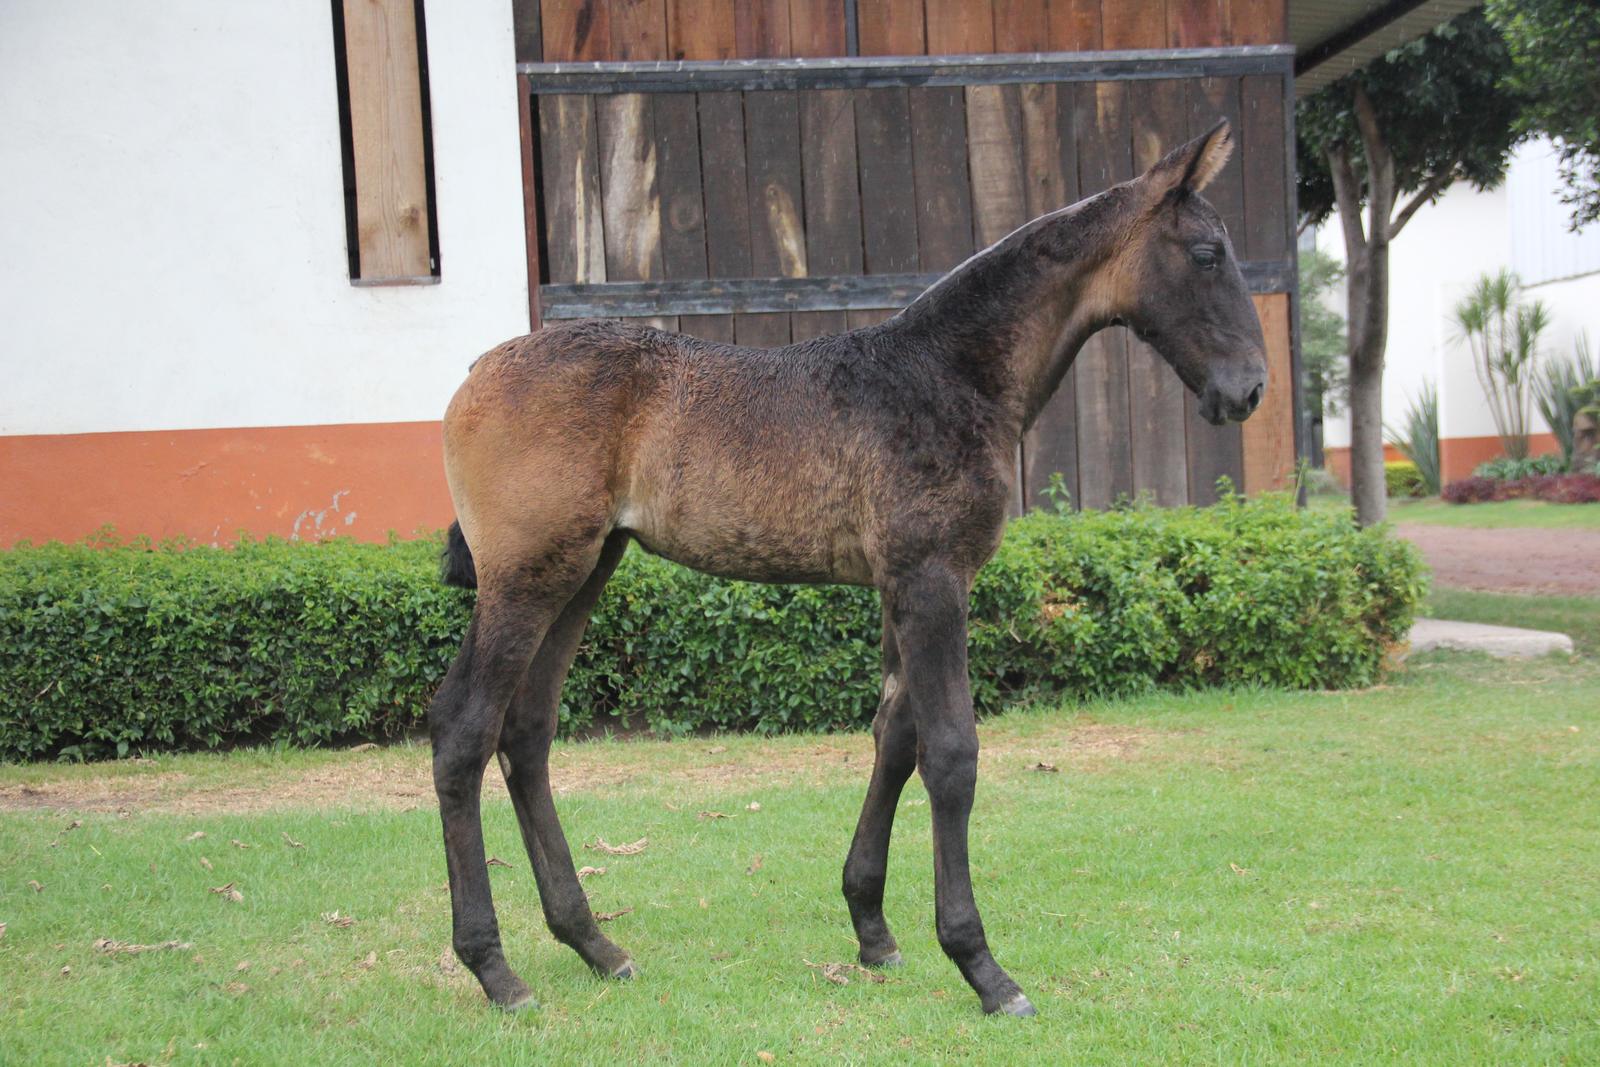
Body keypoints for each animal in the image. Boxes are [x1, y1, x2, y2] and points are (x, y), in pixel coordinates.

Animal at [429, 118, 1265, 1017]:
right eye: (1208, 252)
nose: (1250, 388)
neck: (947, 374)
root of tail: (472, 376)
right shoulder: (933, 581)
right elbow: (951, 753)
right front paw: (983, 966)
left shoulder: (902, 586)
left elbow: (894, 737)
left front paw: (873, 928)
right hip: (527, 577)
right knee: (463, 730)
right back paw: (494, 968)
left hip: (584, 571)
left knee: (526, 732)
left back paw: (594, 943)